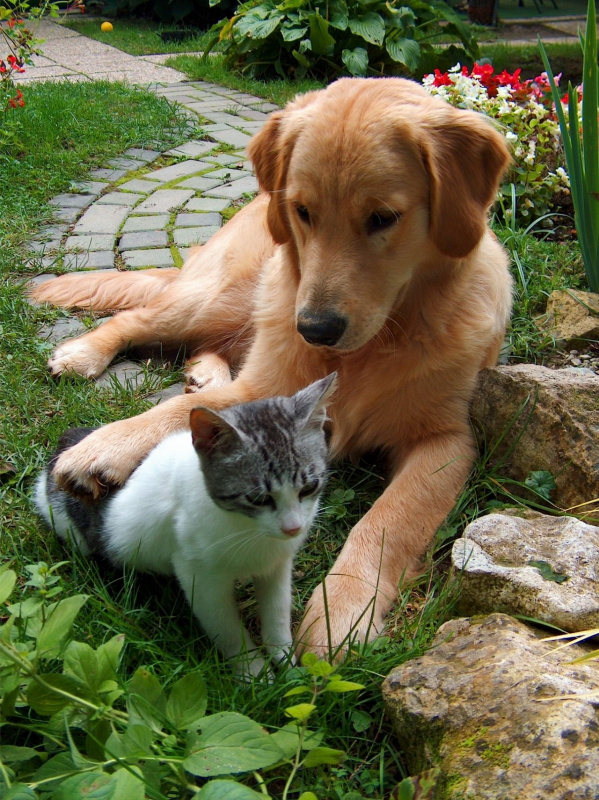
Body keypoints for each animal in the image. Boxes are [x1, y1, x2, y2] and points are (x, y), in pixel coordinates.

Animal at [34, 376, 338, 676]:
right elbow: (226, 629)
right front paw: (253, 672)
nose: (293, 528)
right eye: (258, 499)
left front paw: (284, 659)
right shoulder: (199, 576)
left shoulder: (277, 566)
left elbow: (277, 611)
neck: (248, 530)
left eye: (309, 487)